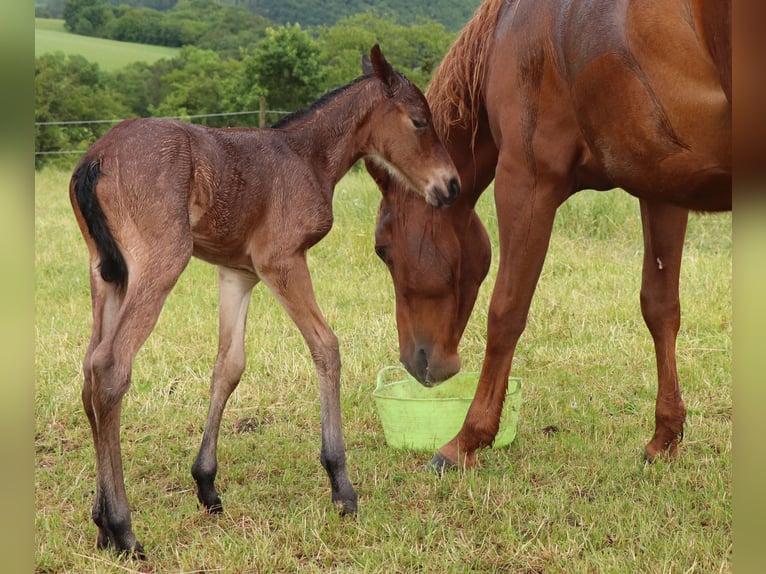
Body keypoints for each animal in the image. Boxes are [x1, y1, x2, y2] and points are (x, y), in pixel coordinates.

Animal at [69, 44, 460, 558]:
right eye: (418, 120)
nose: (451, 185)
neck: (307, 156)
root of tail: (94, 159)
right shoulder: (281, 259)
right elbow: (326, 346)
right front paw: (341, 486)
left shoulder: (237, 272)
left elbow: (229, 365)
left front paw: (206, 485)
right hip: (160, 262)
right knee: (111, 367)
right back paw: (123, 528)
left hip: (106, 274)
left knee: (90, 370)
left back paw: (99, 523)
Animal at [367, 0, 731, 471]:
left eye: (383, 249)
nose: (414, 362)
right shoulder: (663, 188)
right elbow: (660, 308)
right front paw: (664, 437)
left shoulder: (525, 182)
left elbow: (506, 312)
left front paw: (465, 440)